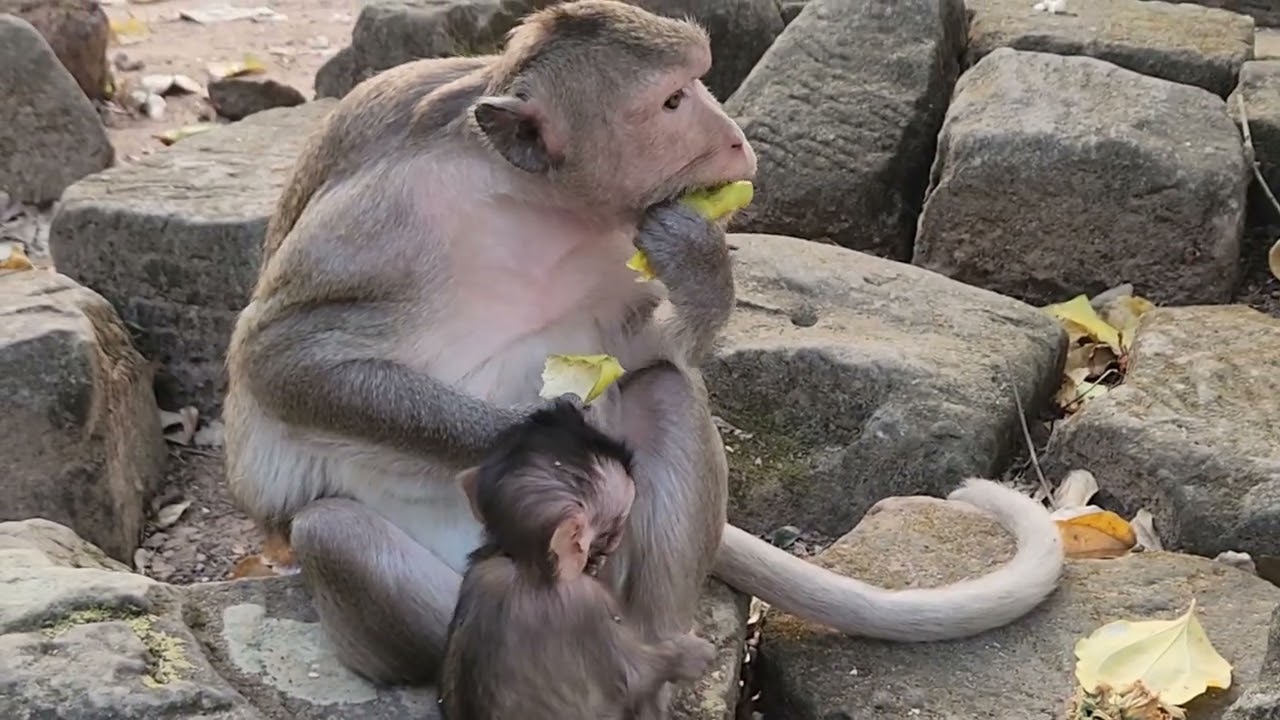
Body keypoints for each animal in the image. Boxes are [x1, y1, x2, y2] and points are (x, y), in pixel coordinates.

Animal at [438, 397, 717, 720]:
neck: (523, 562)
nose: (604, 555)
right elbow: (634, 677)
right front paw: (689, 656)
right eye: (617, 525)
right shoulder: (585, 605)